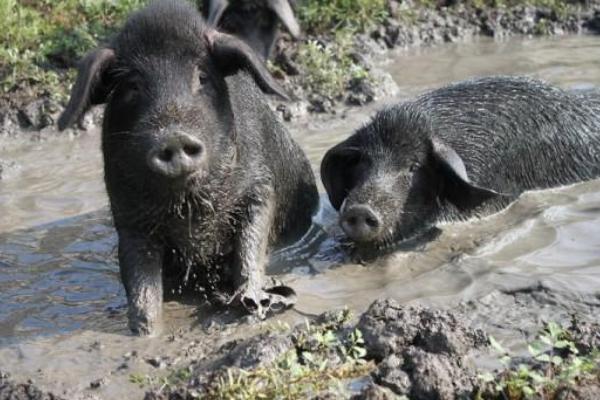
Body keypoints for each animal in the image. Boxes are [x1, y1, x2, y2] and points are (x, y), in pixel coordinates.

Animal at [57, 0, 318, 336]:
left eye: (202, 77)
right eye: (132, 86)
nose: (174, 137)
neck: (189, 210)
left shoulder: (260, 187)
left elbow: (251, 246)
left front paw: (253, 304)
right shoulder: (128, 216)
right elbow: (141, 287)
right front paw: (146, 334)